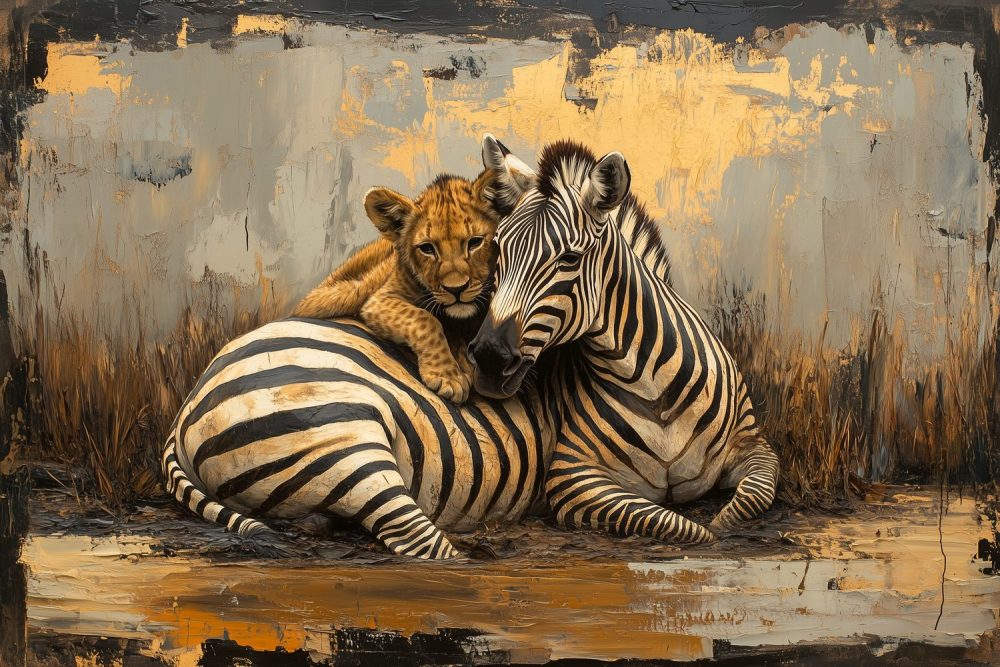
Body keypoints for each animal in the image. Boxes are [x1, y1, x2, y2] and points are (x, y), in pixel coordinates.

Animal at [469, 138, 779, 543]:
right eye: (499, 251)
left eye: (570, 259)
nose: (489, 359)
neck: (653, 387)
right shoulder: (570, 473)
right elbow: (678, 526)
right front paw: (708, 533)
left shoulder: (754, 443)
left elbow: (753, 494)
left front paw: (723, 523)